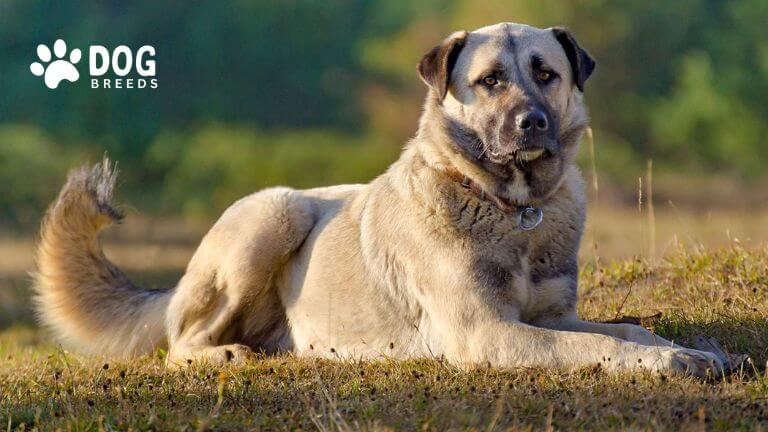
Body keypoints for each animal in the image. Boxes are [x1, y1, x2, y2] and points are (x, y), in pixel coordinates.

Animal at [36, 22, 724, 376]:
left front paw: (693, 350)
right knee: (179, 341)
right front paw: (671, 363)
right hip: (275, 213)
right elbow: (599, 347)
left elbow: (628, 329)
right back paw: (222, 353)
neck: (511, 208)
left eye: (546, 74)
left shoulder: (549, 317)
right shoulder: (488, 333)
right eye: (490, 81)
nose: (531, 123)